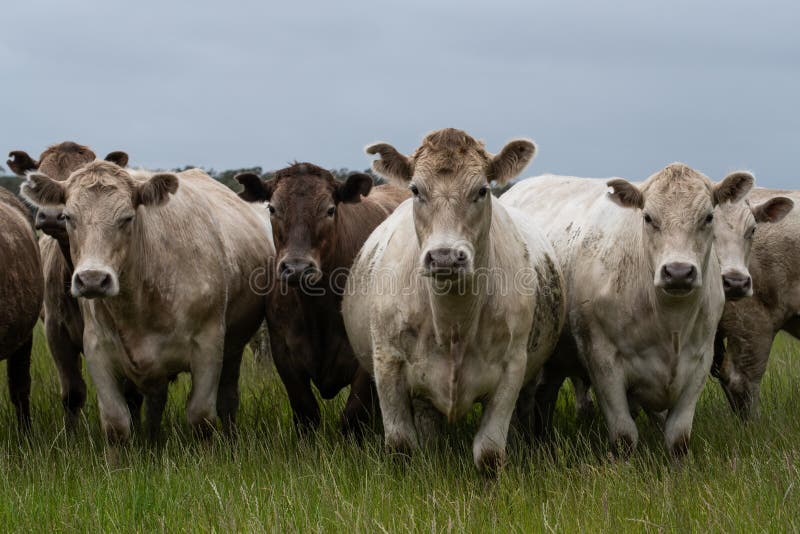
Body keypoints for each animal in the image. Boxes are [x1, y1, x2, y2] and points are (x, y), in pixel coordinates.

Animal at [19, 162, 276, 444]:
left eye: (127, 218)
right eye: (68, 217)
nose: (92, 279)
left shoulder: (208, 346)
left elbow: (200, 417)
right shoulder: (98, 349)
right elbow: (115, 423)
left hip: (233, 348)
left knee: (227, 398)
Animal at [234, 163, 410, 436]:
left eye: (330, 209)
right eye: (272, 208)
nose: (297, 268)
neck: (317, 310)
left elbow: (353, 415)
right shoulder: (283, 352)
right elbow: (306, 411)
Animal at [342, 129, 564, 474]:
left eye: (482, 190)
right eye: (416, 189)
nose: (445, 257)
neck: (453, 323)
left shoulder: (512, 368)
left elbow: (489, 453)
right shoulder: (387, 362)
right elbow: (401, 445)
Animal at [504, 165, 752, 458]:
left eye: (708, 217)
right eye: (648, 217)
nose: (678, 272)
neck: (670, 324)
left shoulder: (700, 361)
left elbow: (678, 438)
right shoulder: (603, 361)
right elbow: (624, 436)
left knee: (545, 394)